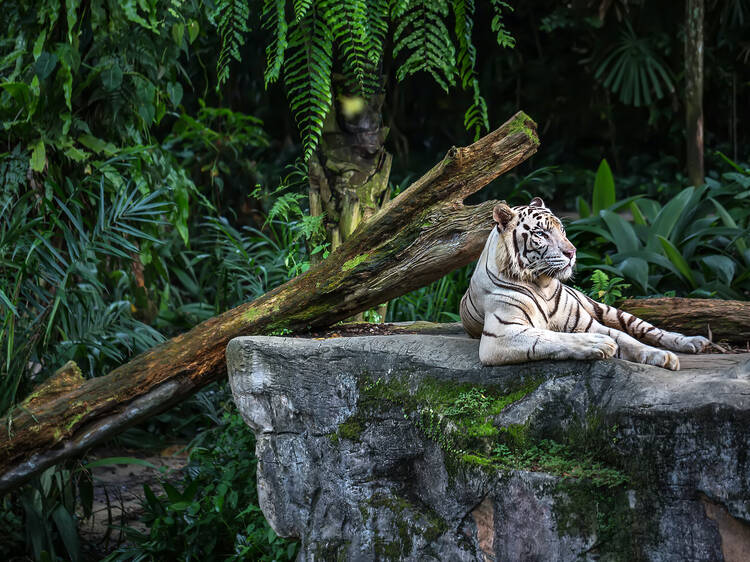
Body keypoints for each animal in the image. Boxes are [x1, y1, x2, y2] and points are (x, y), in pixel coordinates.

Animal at [462, 197, 712, 368]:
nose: (572, 252)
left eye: (562, 229)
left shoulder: (587, 322)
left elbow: (627, 338)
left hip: (606, 309)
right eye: (541, 234)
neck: (543, 284)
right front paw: (599, 344)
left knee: (648, 330)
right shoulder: (501, 334)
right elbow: (552, 337)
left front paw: (663, 356)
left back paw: (694, 342)